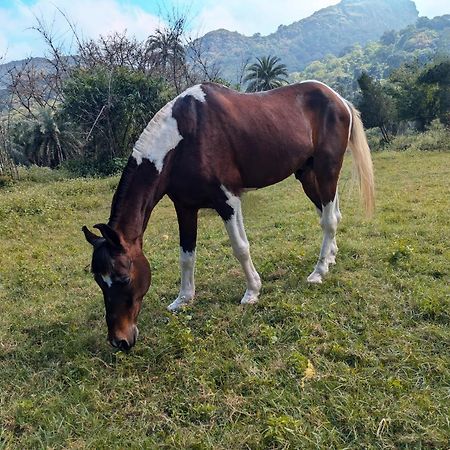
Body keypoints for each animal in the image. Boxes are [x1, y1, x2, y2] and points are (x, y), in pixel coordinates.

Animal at [82, 79, 374, 350]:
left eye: (123, 278)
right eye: (98, 280)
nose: (119, 340)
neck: (184, 138)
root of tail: (339, 99)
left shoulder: (228, 201)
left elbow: (240, 247)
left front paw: (252, 291)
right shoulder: (185, 207)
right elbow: (186, 256)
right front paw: (184, 299)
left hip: (327, 171)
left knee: (329, 220)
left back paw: (319, 271)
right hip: (308, 175)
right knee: (332, 215)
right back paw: (331, 257)